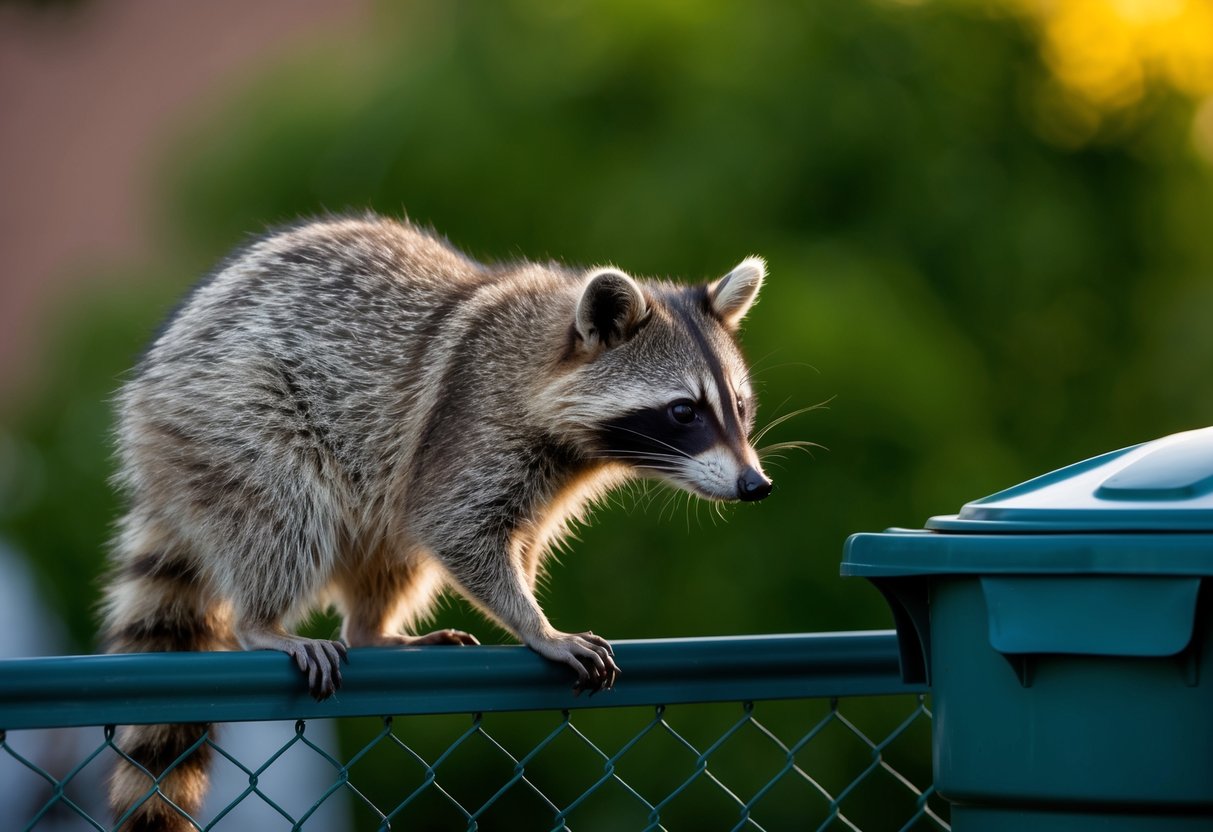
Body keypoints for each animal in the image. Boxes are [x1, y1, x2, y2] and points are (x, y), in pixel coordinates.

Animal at [102, 214, 771, 829]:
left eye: (738, 407)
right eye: (683, 411)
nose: (755, 485)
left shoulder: (547, 475)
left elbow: (515, 538)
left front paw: (527, 600)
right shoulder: (472, 421)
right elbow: (454, 526)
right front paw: (536, 625)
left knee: (390, 553)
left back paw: (372, 629)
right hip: (231, 412)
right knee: (284, 508)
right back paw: (262, 621)